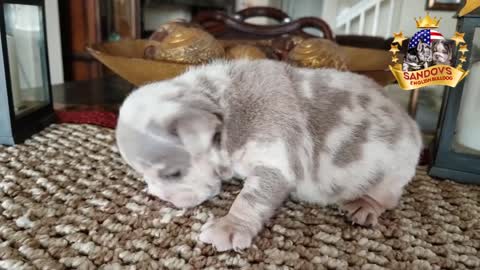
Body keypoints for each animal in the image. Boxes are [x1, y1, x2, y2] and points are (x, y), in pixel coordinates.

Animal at [116, 59, 424, 251]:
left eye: (173, 173)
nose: (161, 197)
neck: (223, 107)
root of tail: (410, 122)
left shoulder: (274, 162)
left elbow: (251, 199)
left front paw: (229, 227)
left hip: (392, 173)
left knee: (386, 198)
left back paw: (364, 206)